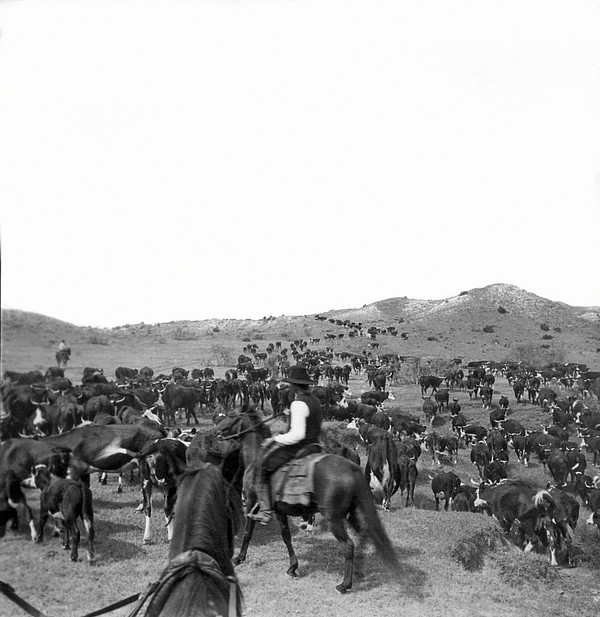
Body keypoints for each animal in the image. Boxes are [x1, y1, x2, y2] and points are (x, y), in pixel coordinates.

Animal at [213, 404, 400, 592]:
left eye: (230, 415)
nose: (215, 432)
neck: (257, 457)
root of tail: (352, 470)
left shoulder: (253, 502)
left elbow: (248, 532)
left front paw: (239, 558)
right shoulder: (279, 510)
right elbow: (286, 536)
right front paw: (292, 567)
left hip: (334, 518)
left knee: (348, 545)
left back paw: (344, 584)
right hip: (350, 513)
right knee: (363, 535)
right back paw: (359, 571)